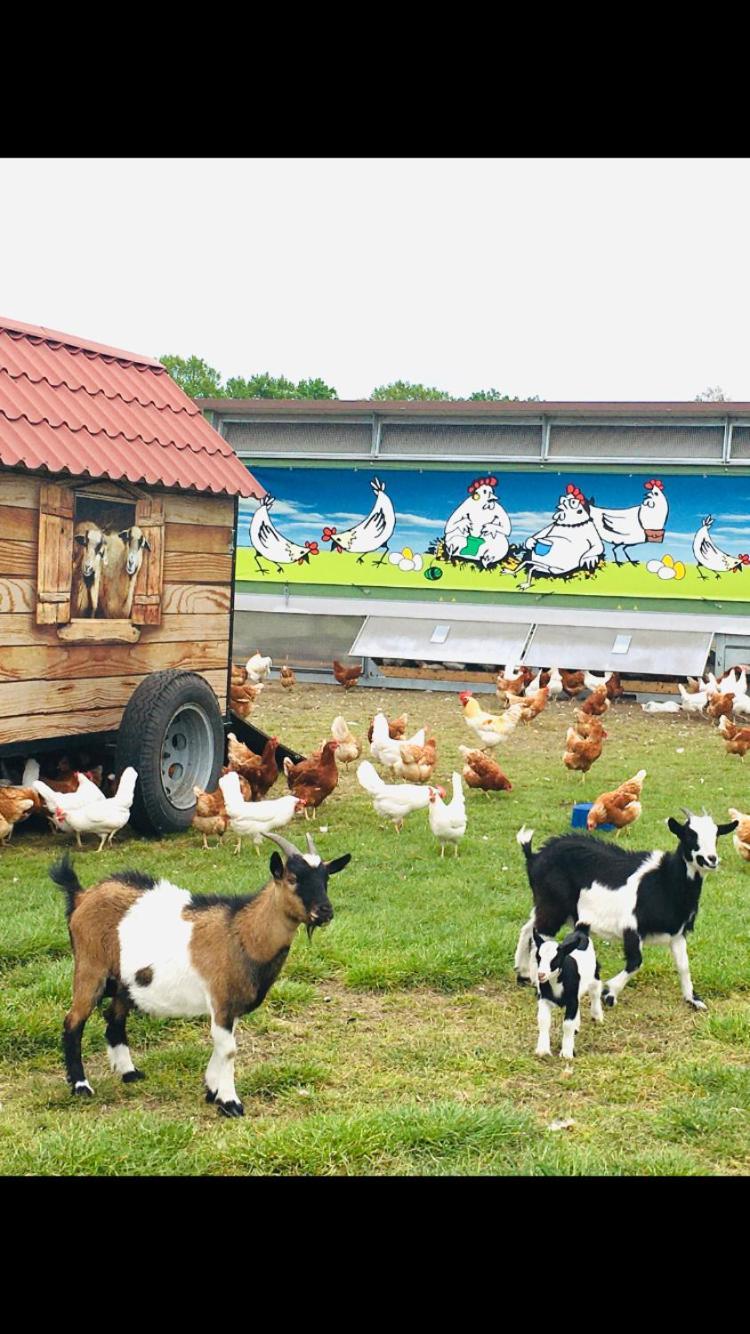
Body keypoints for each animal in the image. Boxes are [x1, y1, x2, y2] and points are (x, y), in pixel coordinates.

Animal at [52, 827, 349, 1120]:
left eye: (326, 878)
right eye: (292, 878)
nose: (325, 911)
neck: (242, 932)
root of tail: (82, 895)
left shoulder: (230, 1004)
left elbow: (222, 1045)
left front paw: (212, 1089)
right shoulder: (221, 997)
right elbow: (228, 1049)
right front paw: (230, 1102)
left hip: (125, 982)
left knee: (114, 1017)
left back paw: (129, 1073)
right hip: (90, 968)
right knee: (74, 1021)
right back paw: (81, 1086)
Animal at [512, 805, 736, 1013]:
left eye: (717, 835)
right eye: (689, 835)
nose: (711, 859)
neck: (664, 882)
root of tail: (534, 857)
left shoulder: (677, 933)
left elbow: (683, 966)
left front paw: (693, 999)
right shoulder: (631, 927)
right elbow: (636, 962)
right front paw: (609, 993)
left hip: (547, 905)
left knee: (529, 929)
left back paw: (522, 972)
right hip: (552, 905)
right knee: (542, 935)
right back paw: (537, 982)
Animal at [531, 923, 600, 1056]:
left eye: (555, 959)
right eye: (538, 957)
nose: (541, 975)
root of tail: (580, 930)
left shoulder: (572, 1001)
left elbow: (567, 1025)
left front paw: (567, 1053)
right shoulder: (544, 999)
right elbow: (543, 1020)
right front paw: (543, 1050)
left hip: (595, 975)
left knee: (595, 992)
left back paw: (598, 1017)